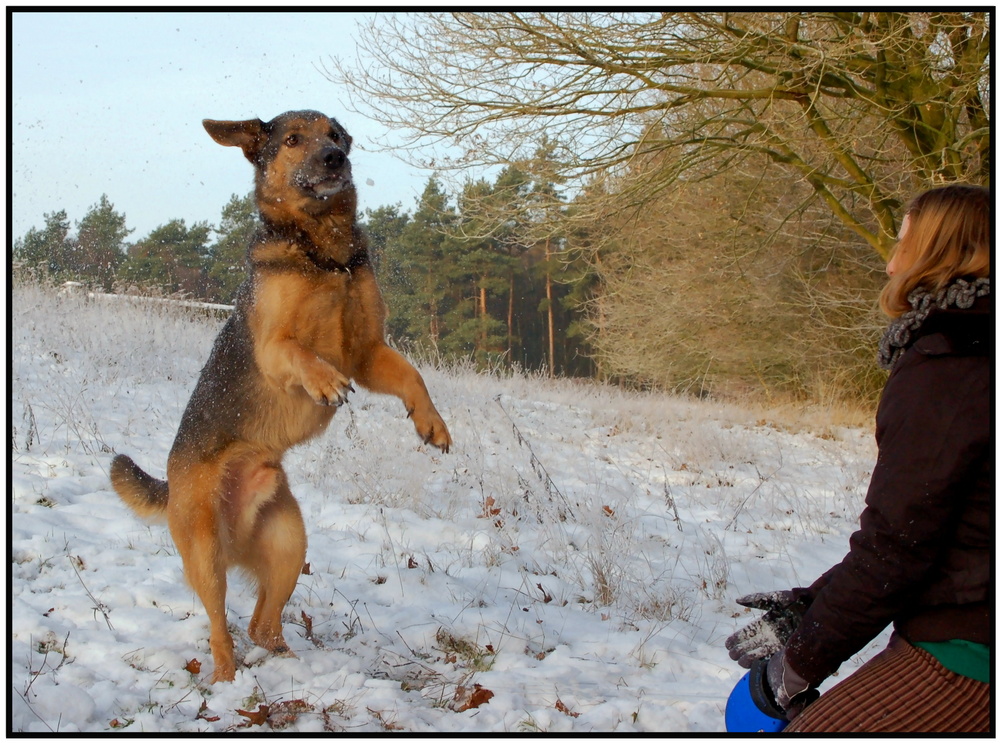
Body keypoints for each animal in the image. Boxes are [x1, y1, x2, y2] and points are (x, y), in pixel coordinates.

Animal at [111, 110, 452, 684]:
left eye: (335, 135)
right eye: (293, 139)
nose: (335, 158)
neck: (322, 249)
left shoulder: (368, 350)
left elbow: (414, 377)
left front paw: (430, 422)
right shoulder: (276, 347)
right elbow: (300, 353)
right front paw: (324, 383)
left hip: (290, 543)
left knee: (261, 625)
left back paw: (296, 664)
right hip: (205, 555)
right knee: (221, 627)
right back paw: (227, 678)